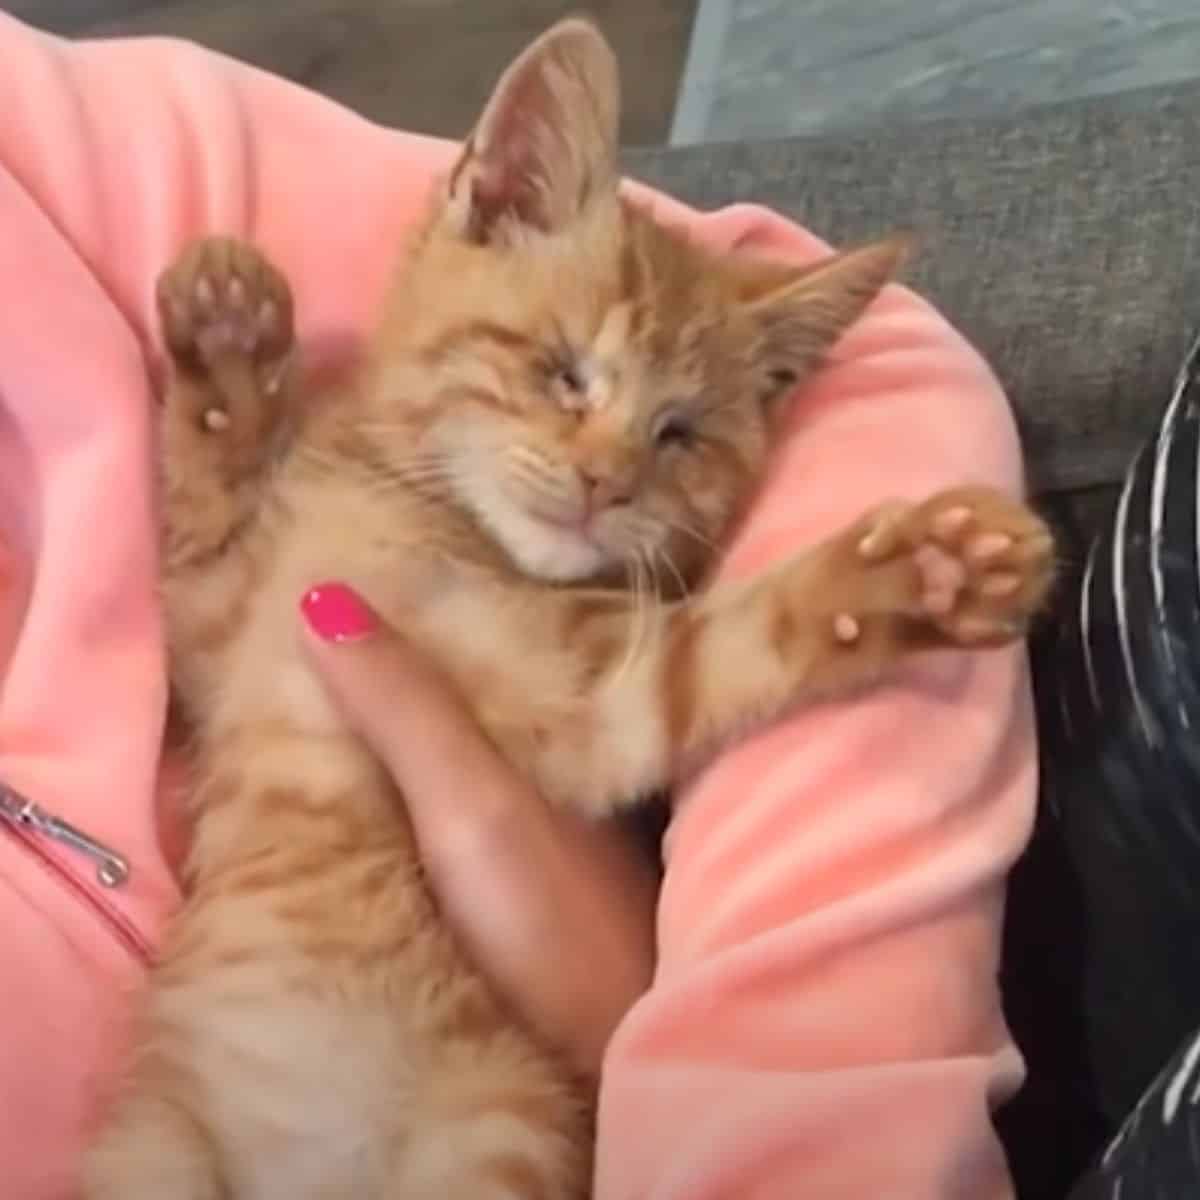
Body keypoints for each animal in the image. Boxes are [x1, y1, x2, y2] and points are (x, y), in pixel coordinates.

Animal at [82, 16, 1051, 1200]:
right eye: (565, 374)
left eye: (679, 435)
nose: (605, 484)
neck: (411, 515)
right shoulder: (219, 626)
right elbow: (205, 521)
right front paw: (226, 351)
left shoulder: (591, 704)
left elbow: (730, 642)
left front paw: (923, 567)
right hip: (155, 1151)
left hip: (496, 1131)